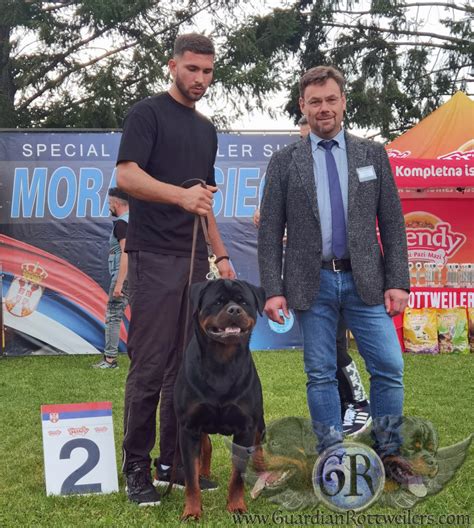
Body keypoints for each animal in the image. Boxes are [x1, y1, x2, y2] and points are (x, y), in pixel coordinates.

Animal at [173, 278, 264, 520]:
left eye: (243, 302)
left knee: (260, 445)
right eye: (218, 302)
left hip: (259, 423)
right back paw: (204, 472)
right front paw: (192, 511)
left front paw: (237, 506)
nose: (234, 310)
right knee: (206, 447)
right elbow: (190, 477)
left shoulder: (246, 427)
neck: (222, 361)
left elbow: (237, 476)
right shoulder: (188, 427)